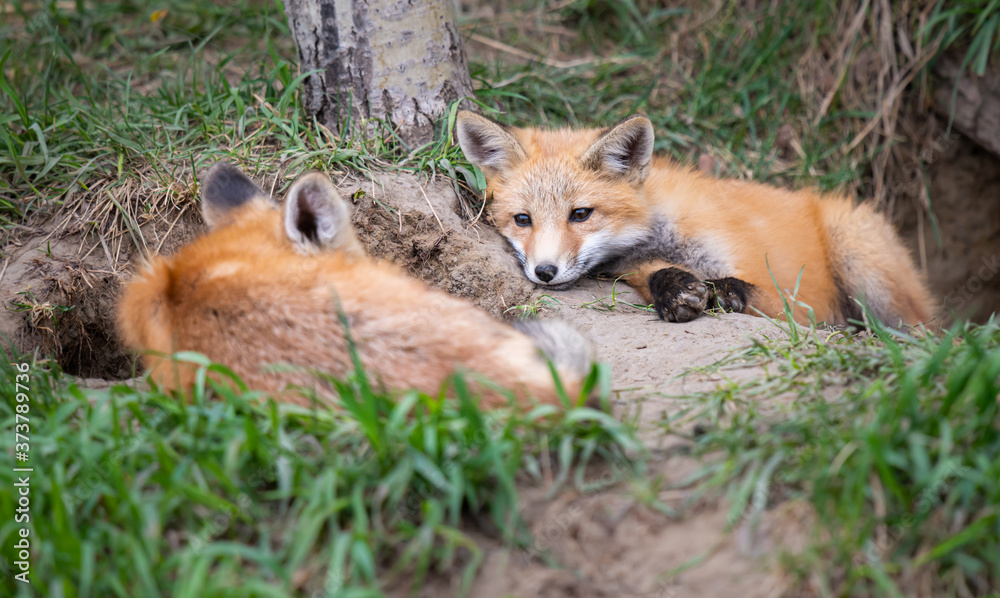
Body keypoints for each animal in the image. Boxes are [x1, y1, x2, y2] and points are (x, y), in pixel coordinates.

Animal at [458, 110, 932, 330]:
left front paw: (725, 291)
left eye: (580, 214)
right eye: (522, 219)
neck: (659, 235)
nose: (545, 272)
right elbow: (659, 278)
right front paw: (676, 292)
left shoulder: (796, 301)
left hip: (860, 262)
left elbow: (750, 290)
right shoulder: (635, 267)